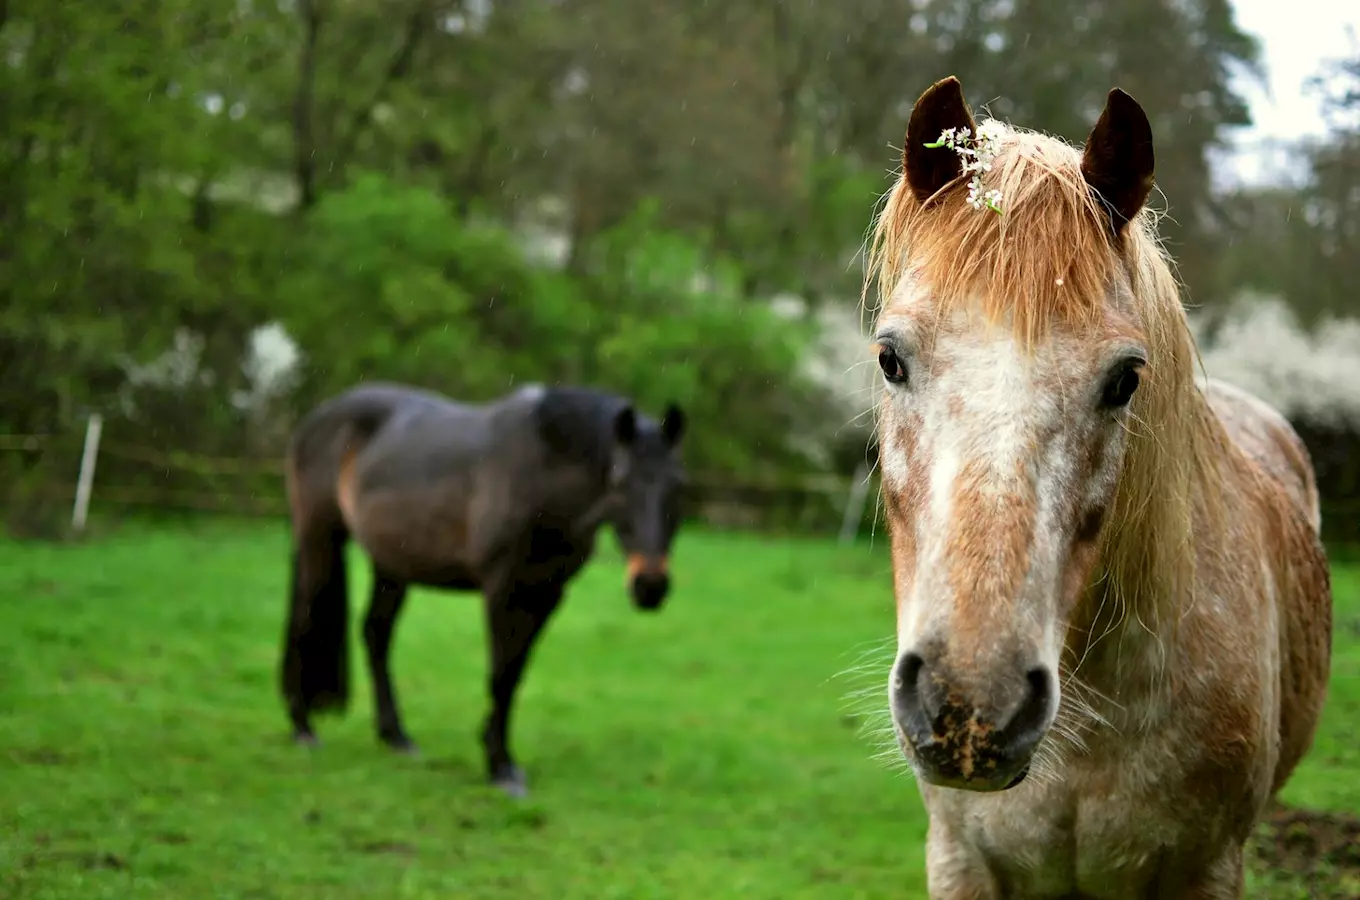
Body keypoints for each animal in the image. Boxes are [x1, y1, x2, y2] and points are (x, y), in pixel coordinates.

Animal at [277, 380, 685, 799]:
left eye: (677, 485)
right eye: (619, 483)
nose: (650, 586)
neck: (540, 469)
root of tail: (313, 422)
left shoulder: (547, 594)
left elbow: (514, 674)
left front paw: (500, 758)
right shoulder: (501, 590)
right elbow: (500, 674)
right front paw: (500, 767)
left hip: (390, 564)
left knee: (376, 635)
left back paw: (396, 737)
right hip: (319, 540)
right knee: (304, 620)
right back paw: (303, 729)